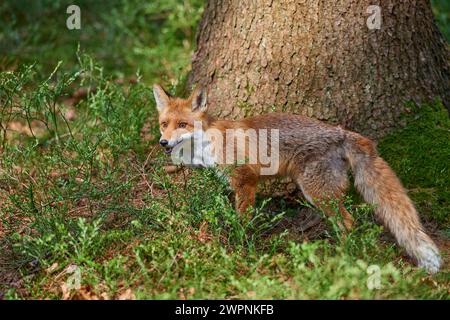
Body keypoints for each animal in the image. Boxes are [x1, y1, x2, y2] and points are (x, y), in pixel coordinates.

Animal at [153, 84, 442, 272]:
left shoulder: (246, 178)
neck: (210, 141)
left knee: (348, 222)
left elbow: (243, 218)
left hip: (316, 192)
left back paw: (344, 256)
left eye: (182, 125)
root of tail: (343, 132)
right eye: (164, 124)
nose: (163, 143)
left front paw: (239, 242)